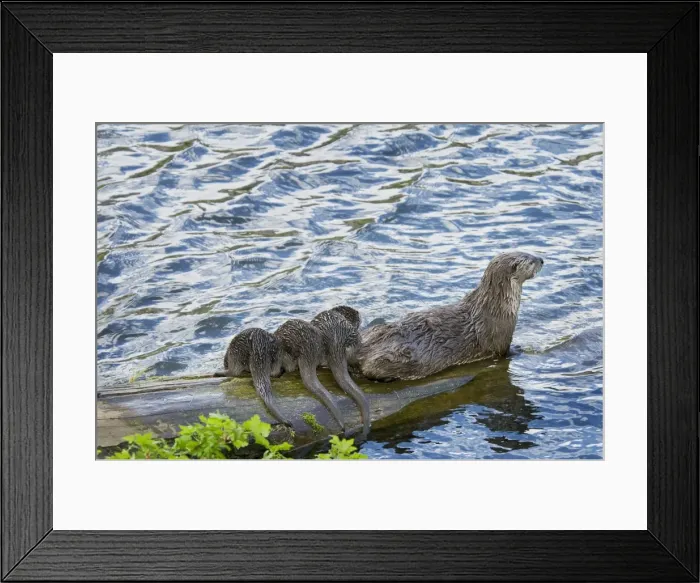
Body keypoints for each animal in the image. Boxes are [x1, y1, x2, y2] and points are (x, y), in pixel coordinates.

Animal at [356, 251, 544, 381]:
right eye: (530, 260)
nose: (542, 259)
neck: (498, 306)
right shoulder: (501, 337)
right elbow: (505, 351)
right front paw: (520, 349)